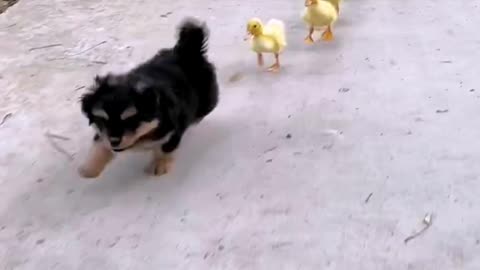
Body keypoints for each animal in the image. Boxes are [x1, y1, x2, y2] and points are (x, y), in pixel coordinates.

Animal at [78, 19, 219, 179]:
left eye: (130, 120)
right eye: (102, 120)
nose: (114, 141)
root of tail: (186, 51)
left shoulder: (173, 129)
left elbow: (165, 148)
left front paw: (160, 165)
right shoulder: (103, 134)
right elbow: (99, 145)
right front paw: (89, 169)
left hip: (207, 100)